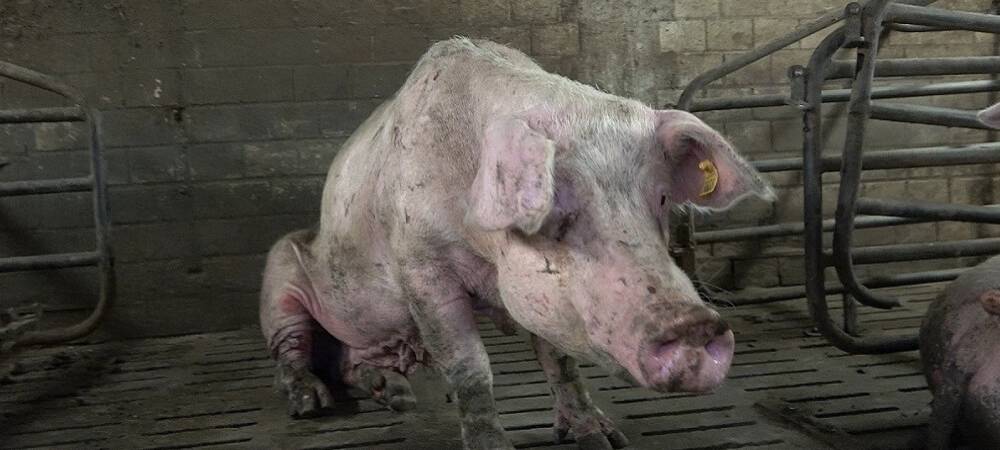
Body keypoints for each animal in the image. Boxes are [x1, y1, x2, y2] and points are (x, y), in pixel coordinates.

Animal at [259, 38, 773, 450]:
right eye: (551, 207)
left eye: (663, 199)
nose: (694, 324)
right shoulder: (420, 266)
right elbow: (469, 367)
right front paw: (490, 443)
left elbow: (560, 360)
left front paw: (603, 439)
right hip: (279, 279)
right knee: (292, 353)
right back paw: (312, 404)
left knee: (350, 363)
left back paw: (399, 395)